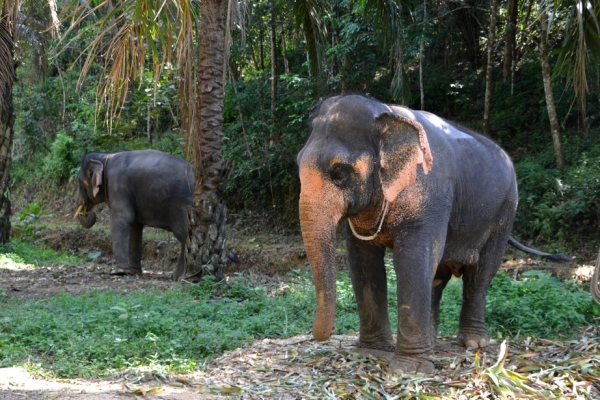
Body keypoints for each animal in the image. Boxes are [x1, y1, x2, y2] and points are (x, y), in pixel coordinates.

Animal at [74, 148, 193, 276]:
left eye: (80, 182)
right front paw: (133, 272)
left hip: (183, 204)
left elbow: (123, 218)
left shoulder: (118, 185)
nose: (87, 212)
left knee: (183, 235)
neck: (106, 156)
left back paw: (179, 276)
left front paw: (119, 272)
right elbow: (135, 225)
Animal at [298, 95, 568, 374]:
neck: (387, 114)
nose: (328, 332)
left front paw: (409, 368)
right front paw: (372, 352)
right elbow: (364, 261)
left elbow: (413, 260)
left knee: (480, 274)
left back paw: (474, 343)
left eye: (339, 171)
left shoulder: (431, 195)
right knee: (438, 277)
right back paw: (432, 342)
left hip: (505, 211)